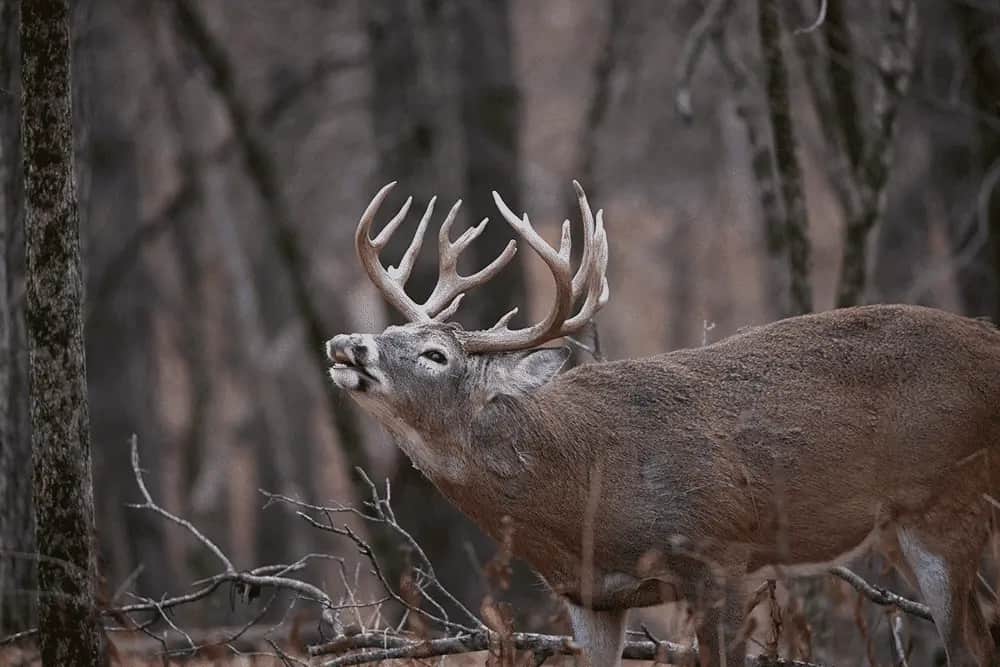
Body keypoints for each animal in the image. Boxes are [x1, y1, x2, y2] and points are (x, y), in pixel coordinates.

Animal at [327, 181, 1000, 666]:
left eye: (435, 354)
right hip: (903, 529)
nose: (347, 344)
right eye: (391, 329)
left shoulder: (721, 553)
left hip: (949, 502)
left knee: (969, 644)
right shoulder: (589, 598)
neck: (583, 488)